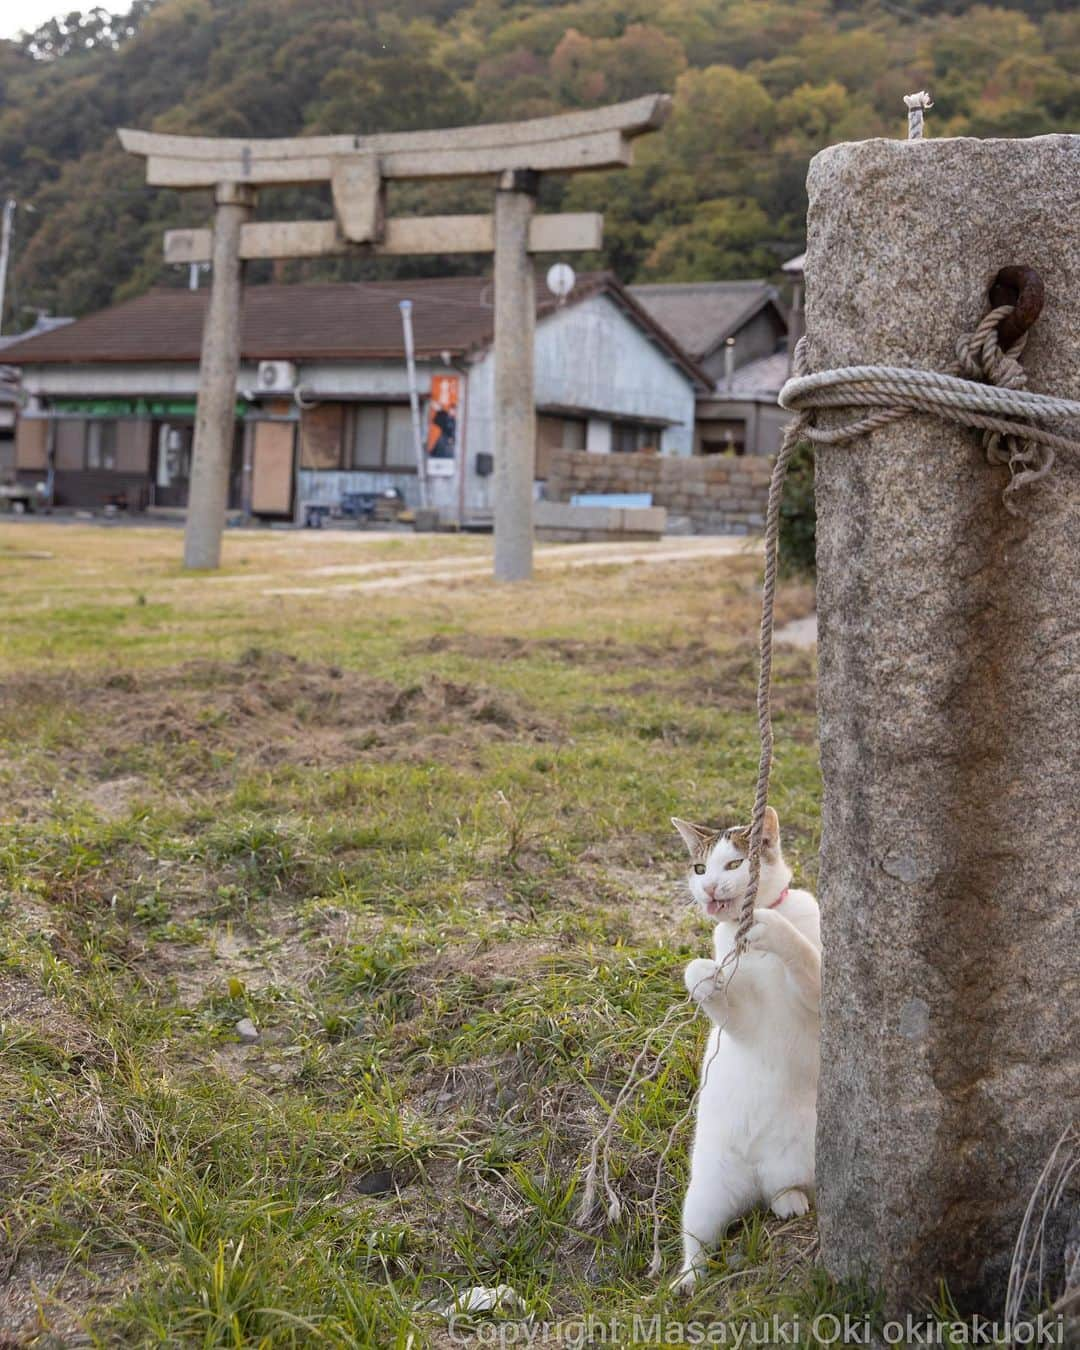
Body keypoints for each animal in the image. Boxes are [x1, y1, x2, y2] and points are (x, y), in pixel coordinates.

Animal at [669, 804, 820, 1290]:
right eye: (700, 869)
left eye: (734, 864)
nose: (710, 887)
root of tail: (756, 1173)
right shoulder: (743, 1024)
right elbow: (719, 995)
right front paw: (702, 977)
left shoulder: (820, 993)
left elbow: (803, 954)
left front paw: (774, 928)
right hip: (704, 1193)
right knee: (698, 1241)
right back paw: (687, 1281)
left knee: (784, 1190)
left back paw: (789, 1200)